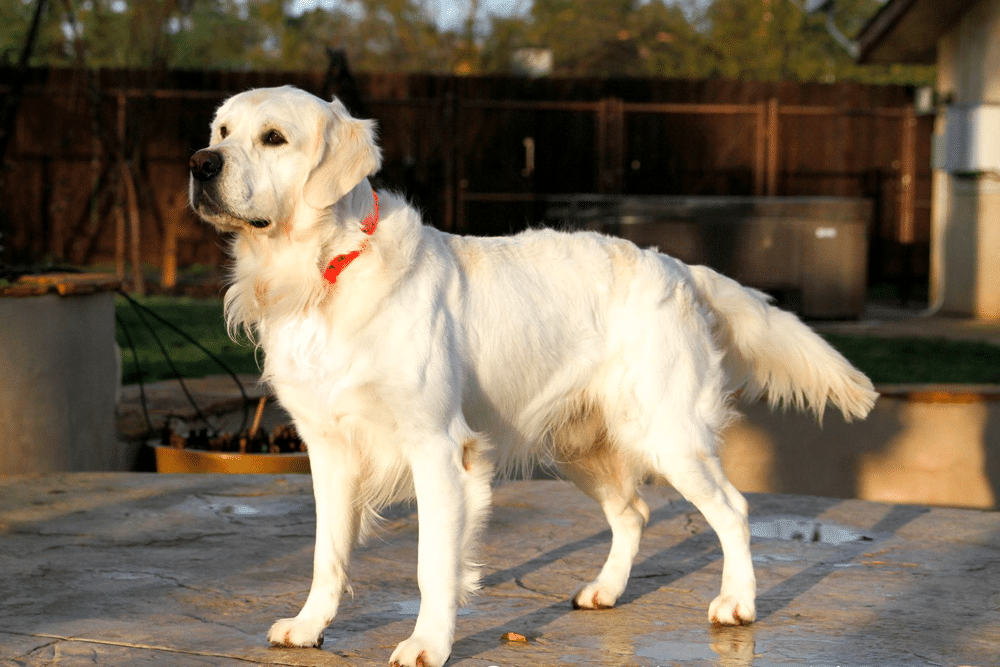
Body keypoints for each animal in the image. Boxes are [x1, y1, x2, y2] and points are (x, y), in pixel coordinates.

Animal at [188, 86, 876, 664]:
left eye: (274, 137)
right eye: (221, 130)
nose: (200, 164)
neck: (323, 273)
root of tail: (679, 266)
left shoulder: (438, 448)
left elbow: (433, 563)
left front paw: (427, 644)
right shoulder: (328, 448)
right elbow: (326, 555)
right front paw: (309, 627)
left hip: (666, 434)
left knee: (732, 509)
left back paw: (737, 603)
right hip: (576, 445)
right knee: (633, 512)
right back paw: (604, 589)